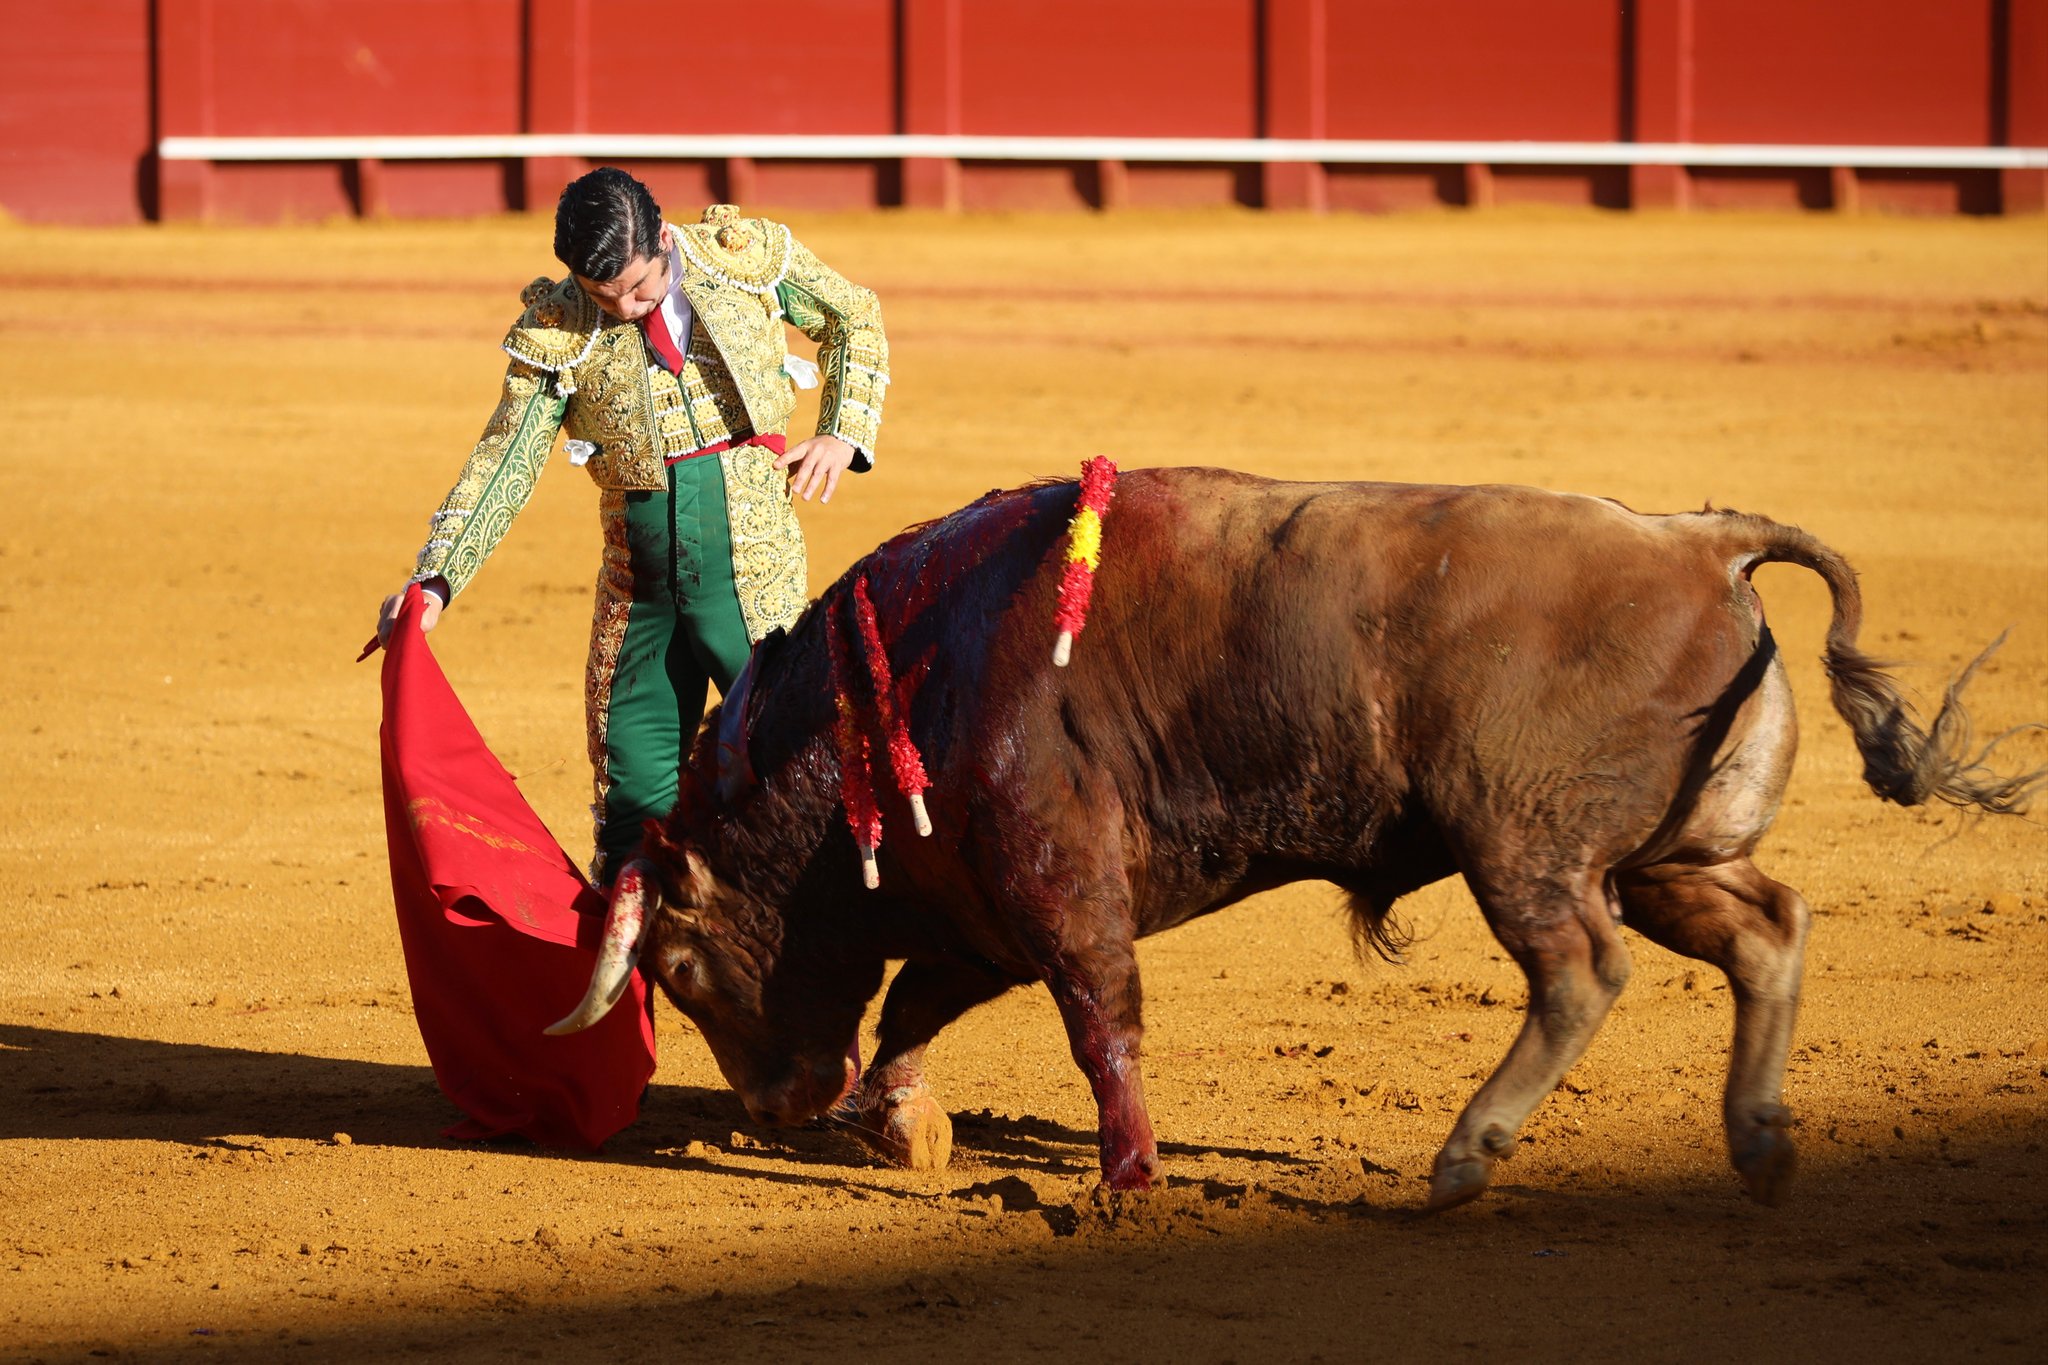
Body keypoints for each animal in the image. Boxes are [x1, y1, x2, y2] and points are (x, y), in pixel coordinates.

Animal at [550, 467, 2041, 1210]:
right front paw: (897, 1124)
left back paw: (1465, 1159)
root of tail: (1698, 541)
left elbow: (1098, 1022)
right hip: (1671, 853)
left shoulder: (1052, 879)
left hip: (1527, 844)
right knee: (1767, 931)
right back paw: (1761, 1145)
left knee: (1581, 972)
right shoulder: (985, 905)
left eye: (676, 969)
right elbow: (923, 998)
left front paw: (1125, 1180)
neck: (897, 684)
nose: (772, 1108)